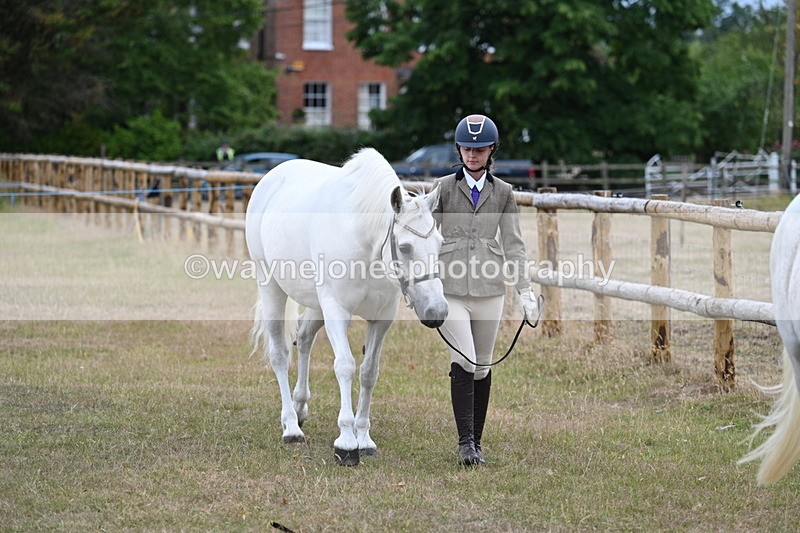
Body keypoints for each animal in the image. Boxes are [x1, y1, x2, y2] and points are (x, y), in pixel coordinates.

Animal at [245, 147, 448, 466]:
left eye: (440, 244)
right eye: (404, 247)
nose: (436, 312)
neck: (364, 242)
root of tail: (272, 177)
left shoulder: (381, 319)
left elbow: (369, 372)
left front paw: (364, 438)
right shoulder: (337, 312)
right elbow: (345, 366)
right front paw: (347, 442)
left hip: (317, 305)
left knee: (304, 339)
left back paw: (300, 408)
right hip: (272, 288)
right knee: (279, 355)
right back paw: (291, 426)